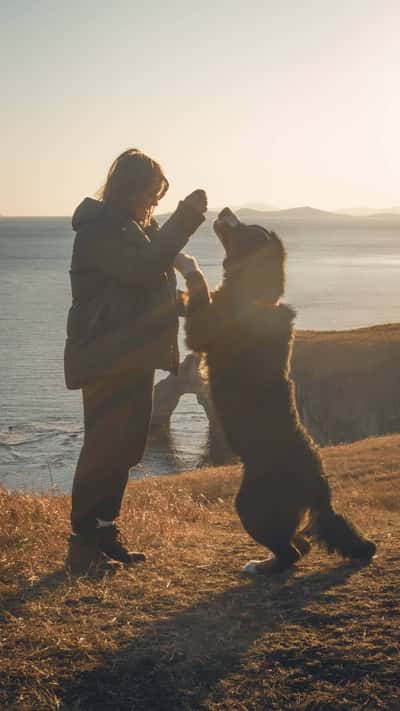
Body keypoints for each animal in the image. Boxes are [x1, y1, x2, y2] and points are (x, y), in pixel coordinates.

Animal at [177, 209, 376, 576]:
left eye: (247, 229)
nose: (225, 210)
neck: (253, 295)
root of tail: (318, 484)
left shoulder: (203, 330)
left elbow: (198, 284)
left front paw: (183, 260)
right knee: (302, 543)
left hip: (250, 503)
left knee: (291, 552)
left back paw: (261, 566)